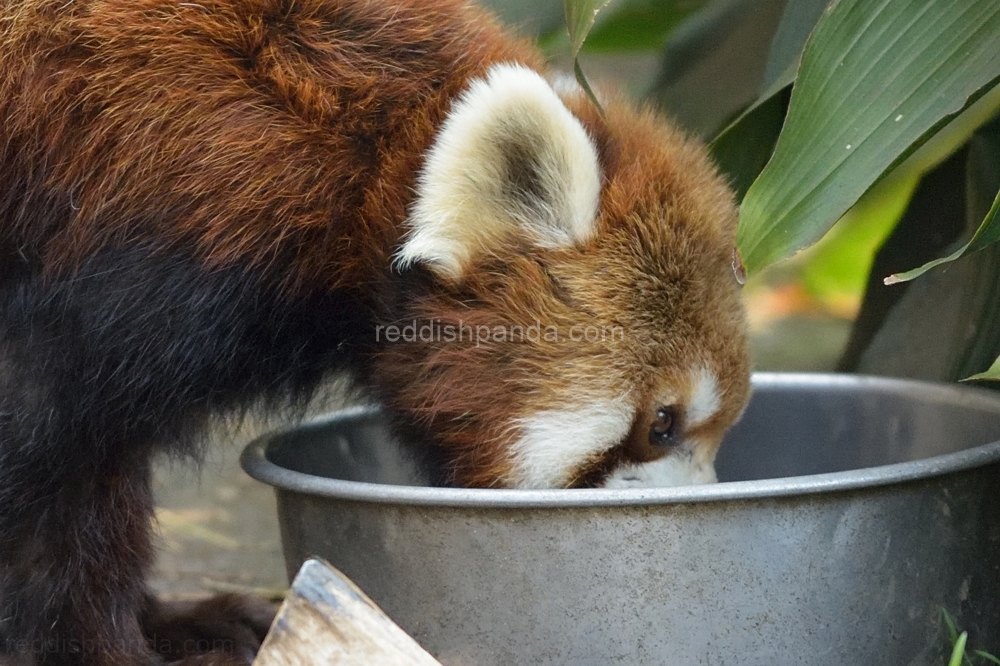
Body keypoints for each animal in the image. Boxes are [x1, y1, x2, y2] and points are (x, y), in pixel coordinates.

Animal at [0, 0, 752, 660]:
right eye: (662, 425)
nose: (697, 509)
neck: (365, 163)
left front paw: (170, 621)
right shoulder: (148, 215)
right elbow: (54, 458)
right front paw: (108, 646)